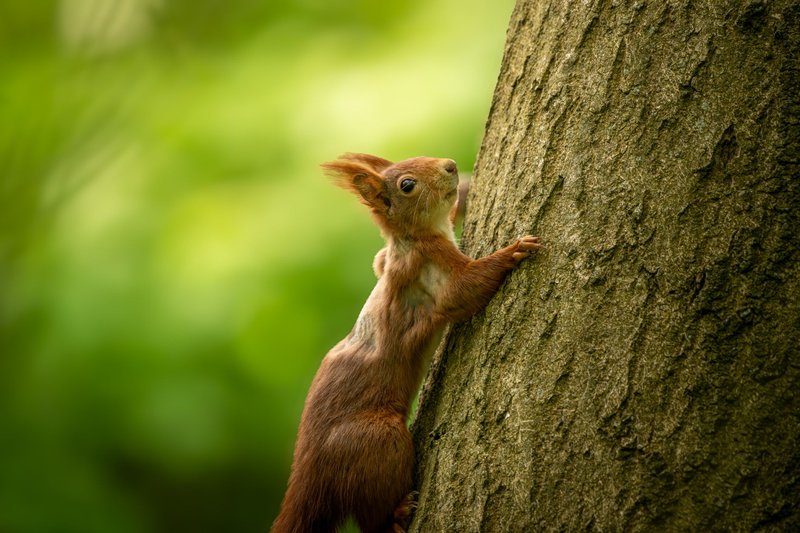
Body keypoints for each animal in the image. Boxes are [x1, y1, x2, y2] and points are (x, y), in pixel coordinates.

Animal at [272, 153, 542, 533]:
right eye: (408, 185)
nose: (450, 165)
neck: (413, 238)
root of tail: (307, 474)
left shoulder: (385, 259)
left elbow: (378, 261)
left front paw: (466, 189)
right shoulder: (429, 263)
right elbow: (463, 291)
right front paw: (513, 251)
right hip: (379, 440)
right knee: (372, 518)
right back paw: (397, 515)